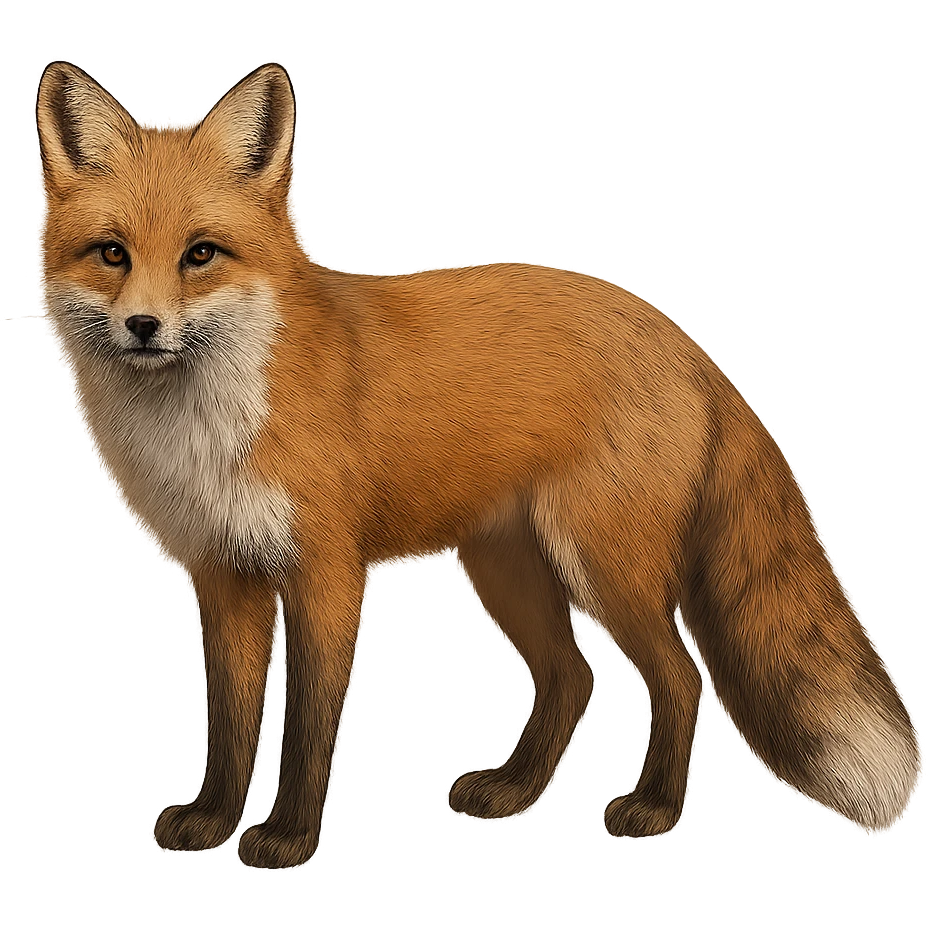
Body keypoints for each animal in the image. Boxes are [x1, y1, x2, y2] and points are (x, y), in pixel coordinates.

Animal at [32, 57, 923, 869]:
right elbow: (228, 719)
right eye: (111, 254)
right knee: (573, 677)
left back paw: (655, 809)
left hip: (604, 565)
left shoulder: (325, 574)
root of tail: (681, 337)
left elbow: (310, 725)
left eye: (201, 254)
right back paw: (514, 793)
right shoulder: (223, 575)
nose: (144, 326)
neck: (214, 425)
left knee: (678, 675)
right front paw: (214, 821)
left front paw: (285, 839)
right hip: (507, 568)